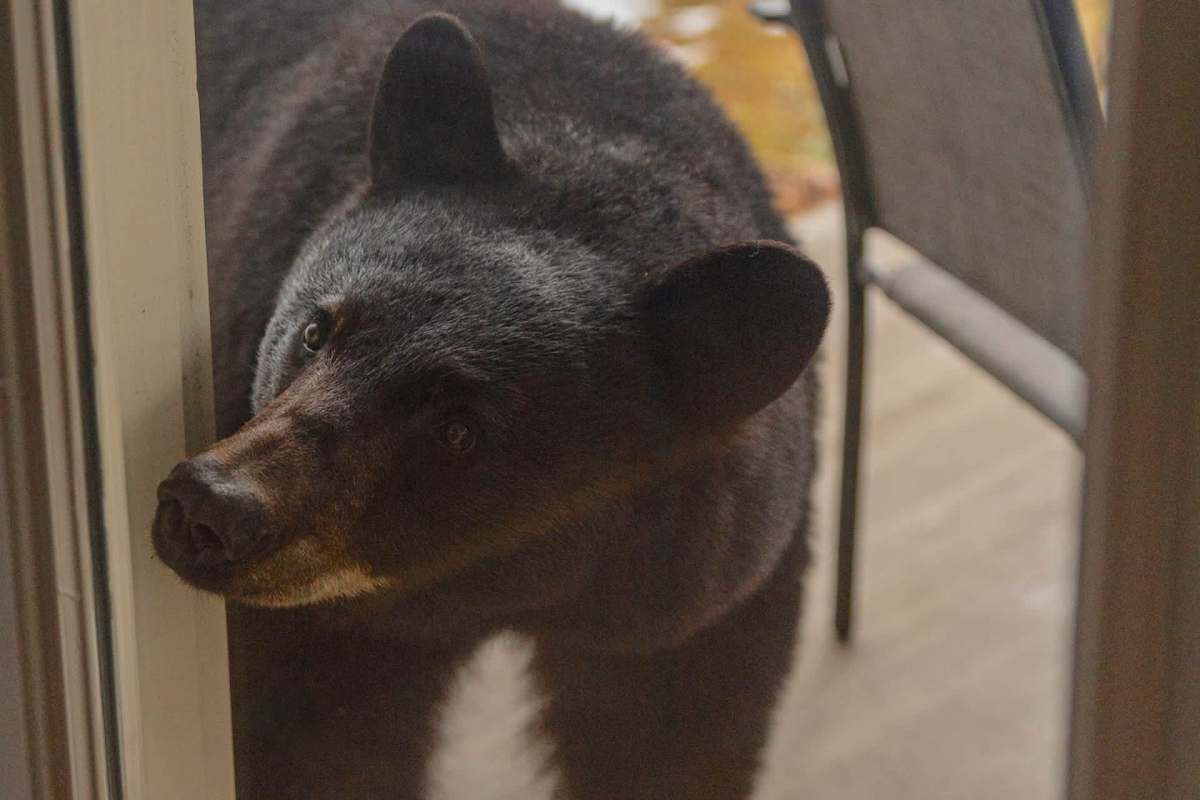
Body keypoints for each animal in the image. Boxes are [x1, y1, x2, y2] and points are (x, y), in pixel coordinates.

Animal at [152, 1, 830, 798]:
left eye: (458, 430)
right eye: (316, 331)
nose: (210, 505)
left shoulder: (702, 606)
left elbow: (672, 743)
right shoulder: (324, 634)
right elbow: (315, 745)